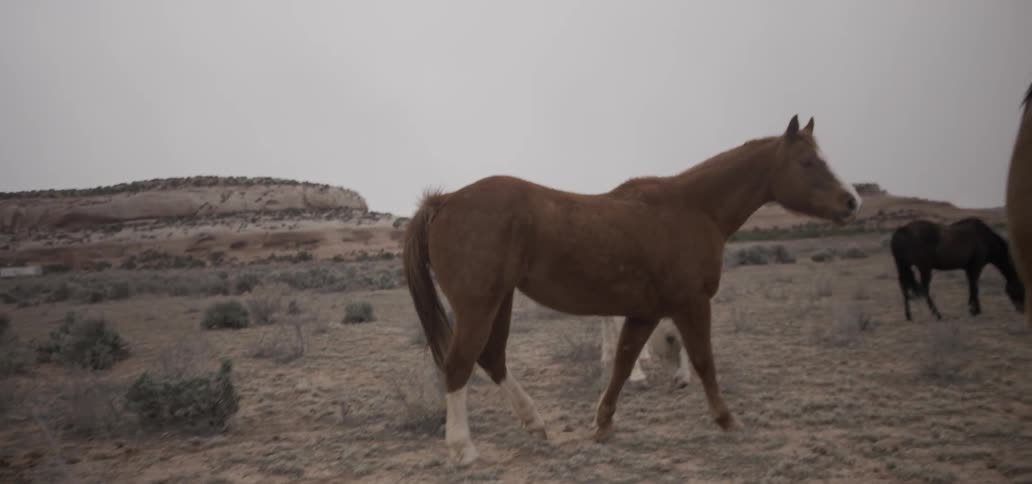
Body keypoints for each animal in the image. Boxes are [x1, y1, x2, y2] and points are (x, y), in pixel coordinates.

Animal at [403, 114, 861, 466]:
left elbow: (623, 364)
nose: (851, 201)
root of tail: (444, 202)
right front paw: (727, 420)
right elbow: (704, 361)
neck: (693, 208)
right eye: (807, 162)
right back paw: (463, 448)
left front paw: (603, 424)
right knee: (460, 365)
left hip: (500, 302)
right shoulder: (692, 303)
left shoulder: (645, 313)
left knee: (492, 358)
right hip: (479, 305)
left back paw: (534, 422)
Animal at [889, 217, 1024, 321]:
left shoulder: (969, 268)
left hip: (903, 266)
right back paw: (937, 315)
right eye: (1021, 286)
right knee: (925, 290)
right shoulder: (976, 266)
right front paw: (975, 310)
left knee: (904, 288)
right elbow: (975, 286)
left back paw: (909, 316)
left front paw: (972, 308)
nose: (1022, 309)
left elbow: (972, 286)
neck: (985, 239)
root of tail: (902, 230)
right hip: (924, 268)